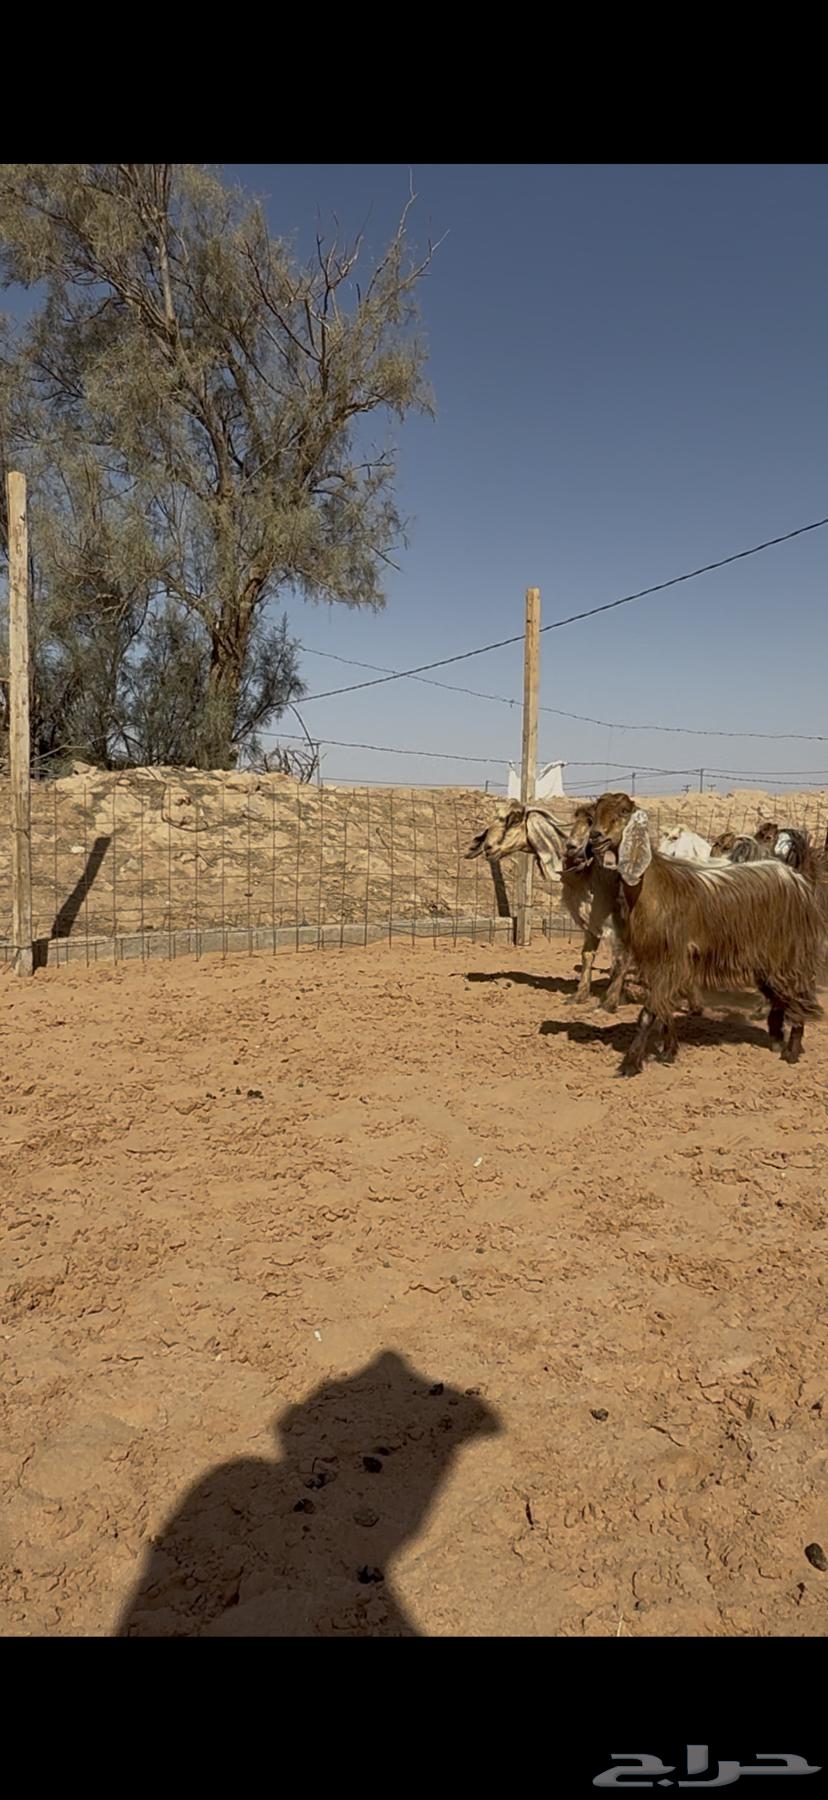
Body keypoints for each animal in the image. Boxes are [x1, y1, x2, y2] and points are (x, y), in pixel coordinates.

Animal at [588, 792, 823, 1076]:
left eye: (623, 811)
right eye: (595, 811)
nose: (596, 836)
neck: (654, 887)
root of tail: (798, 879)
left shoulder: (669, 958)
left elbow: (650, 1011)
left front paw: (630, 1064)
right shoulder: (657, 960)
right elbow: (663, 1009)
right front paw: (668, 1052)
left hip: (788, 954)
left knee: (798, 994)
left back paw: (791, 1051)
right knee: (780, 997)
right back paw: (778, 1040)